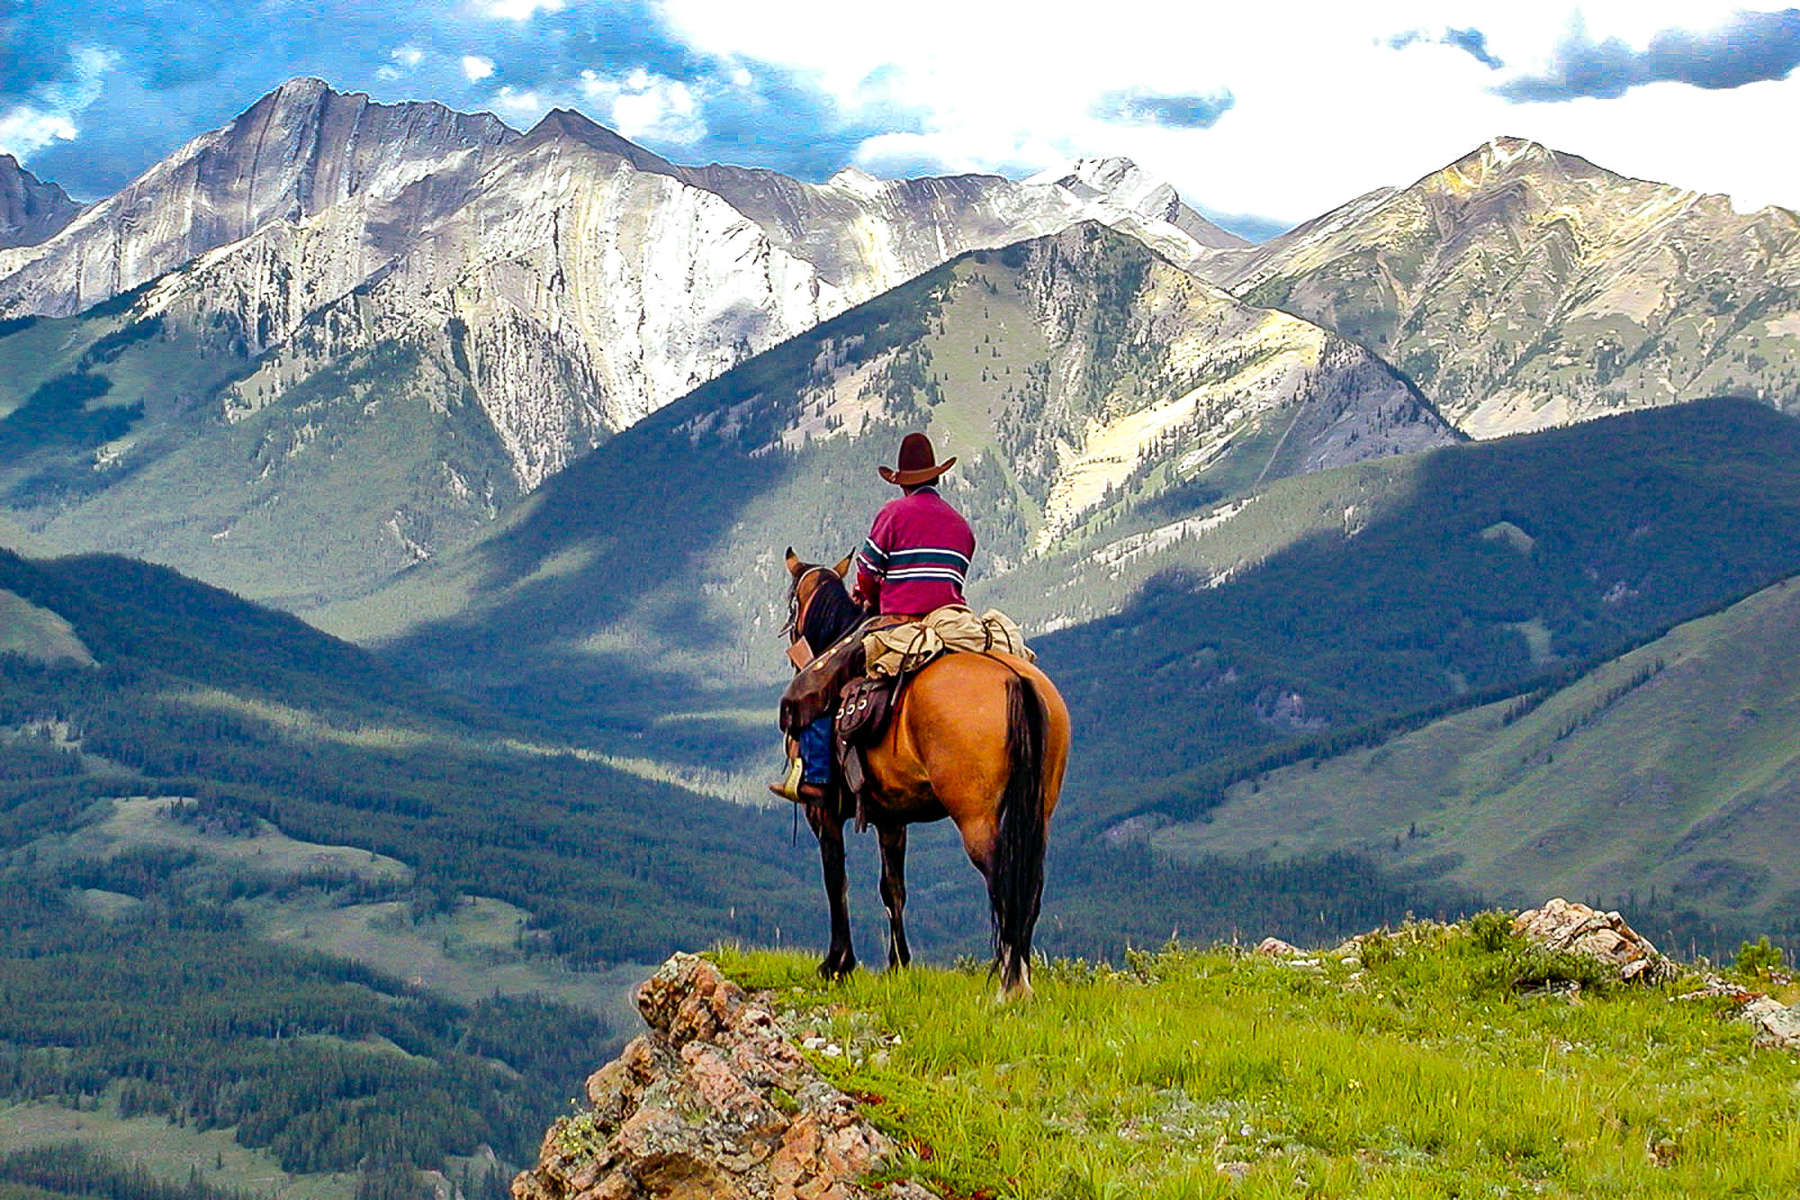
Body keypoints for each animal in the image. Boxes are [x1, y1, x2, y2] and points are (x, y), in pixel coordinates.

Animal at [777, 550, 1058, 1000]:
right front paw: (899, 965)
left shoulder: (822, 812)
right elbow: (892, 887)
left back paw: (1009, 983)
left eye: (792, 606)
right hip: (1038, 812)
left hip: (976, 816)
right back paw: (1021, 981)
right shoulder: (892, 818)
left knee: (1004, 879)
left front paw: (837, 963)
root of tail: (1015, 678)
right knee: (1030, 883)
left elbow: (836, 878)